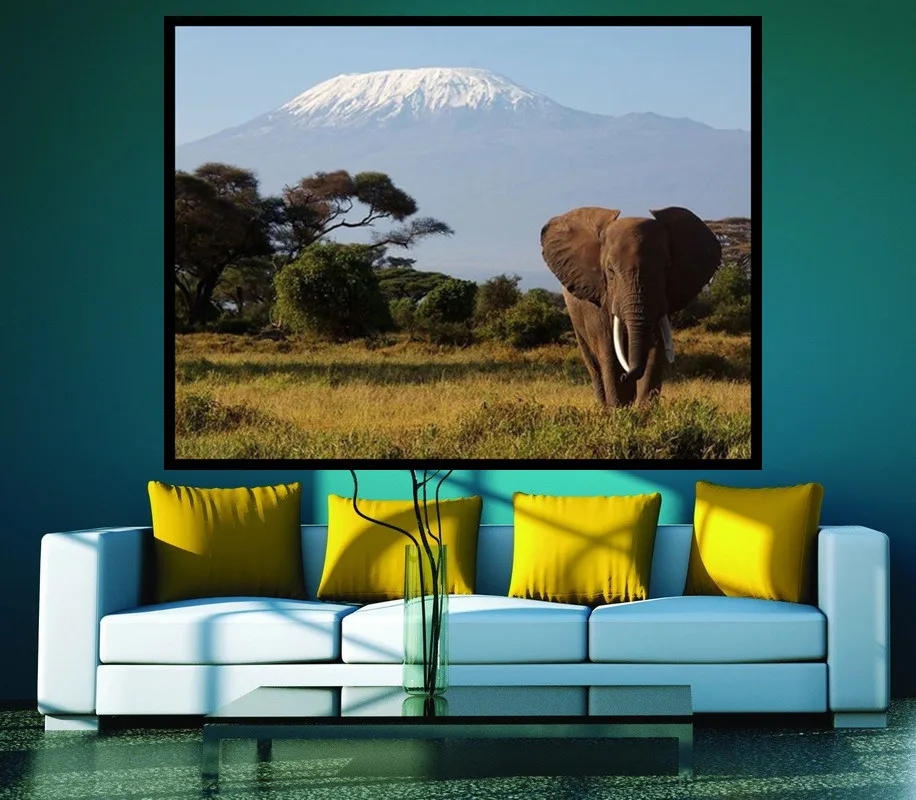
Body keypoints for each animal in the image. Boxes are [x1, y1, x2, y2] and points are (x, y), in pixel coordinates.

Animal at [540, 206, 721, 407]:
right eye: (610, 270)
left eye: (666, 268)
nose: (626, 376)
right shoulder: (599, 300)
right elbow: (609, 353)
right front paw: (619, 410)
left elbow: (655, 352)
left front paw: (643, 411)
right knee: (594, 365)